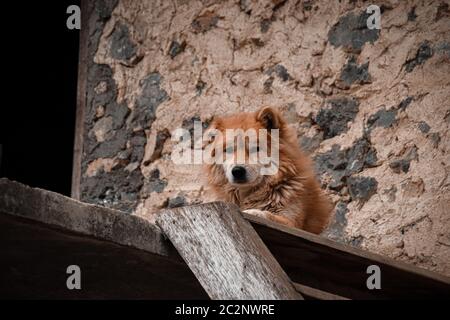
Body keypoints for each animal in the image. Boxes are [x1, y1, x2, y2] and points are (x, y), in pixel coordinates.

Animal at [204, 106, 334, 234]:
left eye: (255, 148)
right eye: (229, 149)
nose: (237, 171)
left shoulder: (292, 223)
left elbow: (267, 215)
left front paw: (254, 212)